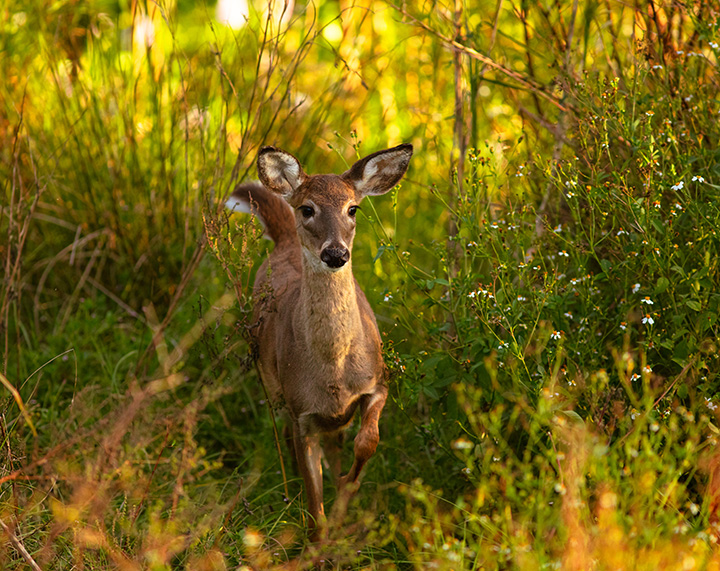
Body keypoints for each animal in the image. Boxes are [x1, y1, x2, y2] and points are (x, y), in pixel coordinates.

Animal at [226, 143, 413, 540]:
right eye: (307, 208)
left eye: (353, 208)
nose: (336, 254)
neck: (334, 368)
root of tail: (283, 240)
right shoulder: (302, 413)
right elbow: (314, 501)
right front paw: (317, 540)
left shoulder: (378, 383)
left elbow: (367, 441)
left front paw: (347, 489)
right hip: (272, 387)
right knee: (288, 439)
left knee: (337, 443)